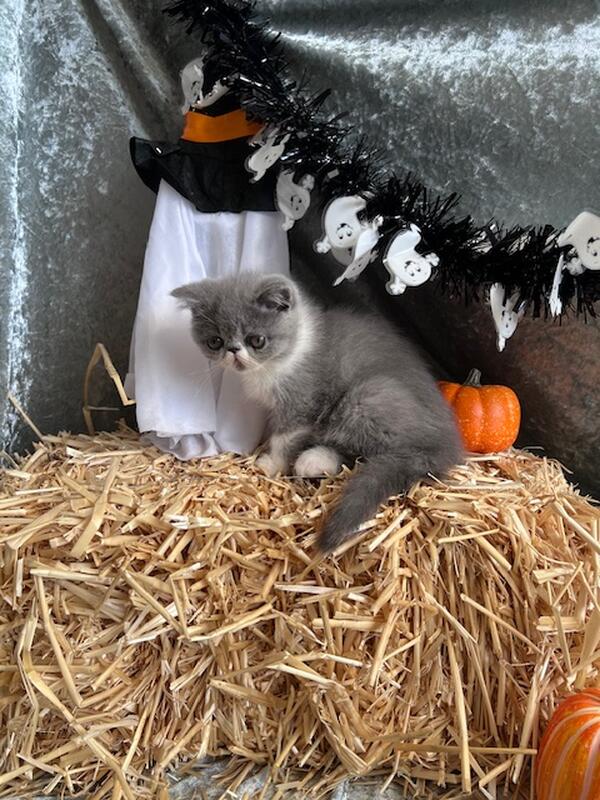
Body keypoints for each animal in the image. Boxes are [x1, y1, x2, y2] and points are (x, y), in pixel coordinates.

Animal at [172, 273, 462, 551]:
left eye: (257, 340)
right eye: (215, 341)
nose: (233, 351)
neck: (285, 357)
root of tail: (444, 445)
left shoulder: (303, 401)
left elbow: (284, 437)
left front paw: (272, 463)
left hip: (365, 396)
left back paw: (315, 459)